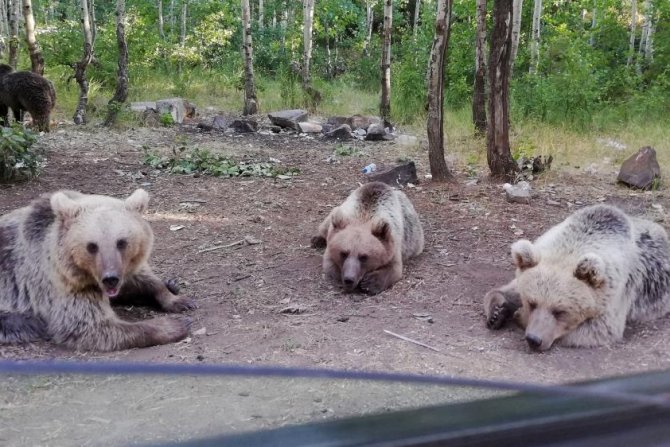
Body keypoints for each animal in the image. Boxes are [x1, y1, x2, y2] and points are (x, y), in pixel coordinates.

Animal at [0, 187, 196, 352]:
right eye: (92, 246)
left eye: (121, 242)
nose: (110, 278)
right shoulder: (65, 284)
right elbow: (92, 326)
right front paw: (175, 325)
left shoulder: (123, 271)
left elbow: (143, 280)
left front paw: (178, 298)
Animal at [486, 205, 670, 352]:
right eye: (532, 303)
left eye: (560, 311)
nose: (534, 339)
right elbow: (508, 289)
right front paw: (497, 311)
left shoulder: (615, 294)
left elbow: (599, 330)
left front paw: (518, 315)